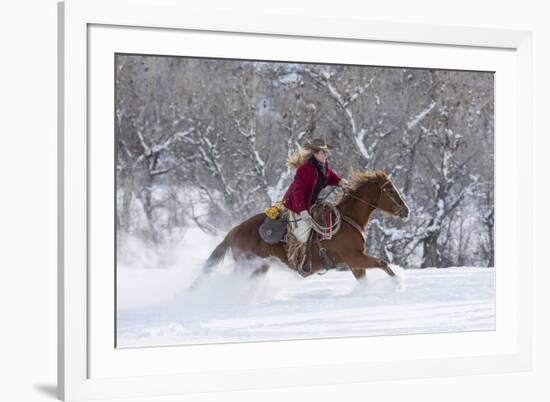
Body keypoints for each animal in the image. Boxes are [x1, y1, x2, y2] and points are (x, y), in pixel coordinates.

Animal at [198, 170, 410, 282]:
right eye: (390, 191)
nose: (406, 210)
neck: (348, 219)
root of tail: (235, 231)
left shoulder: (355, 263)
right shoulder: (354, 258)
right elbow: (382, 263)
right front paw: (398, 284)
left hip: (260, 267)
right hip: (249, 266)